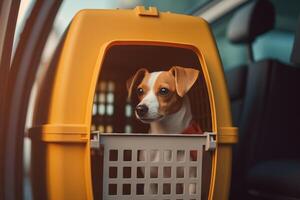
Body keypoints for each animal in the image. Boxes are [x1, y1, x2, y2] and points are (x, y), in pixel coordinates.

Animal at [126, 65, 202, 195]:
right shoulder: (150, 184)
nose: (140, 109)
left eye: (163, 91)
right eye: (140, 90)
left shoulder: (191, 183)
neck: (165, 133)